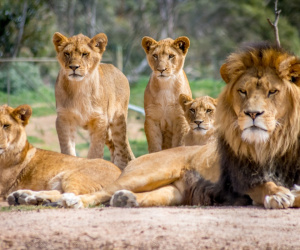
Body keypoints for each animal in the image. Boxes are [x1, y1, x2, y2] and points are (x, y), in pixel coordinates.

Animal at [53, 32, 134, 169]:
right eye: (67, 53)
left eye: (84, 54)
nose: (73, 67)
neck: (79, 87)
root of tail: (118, 70)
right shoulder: (64, 119)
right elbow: (67, 149)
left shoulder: (99, 120)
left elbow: (95, 151)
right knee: (113, 146)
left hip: (118, 121)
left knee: (121, 148)